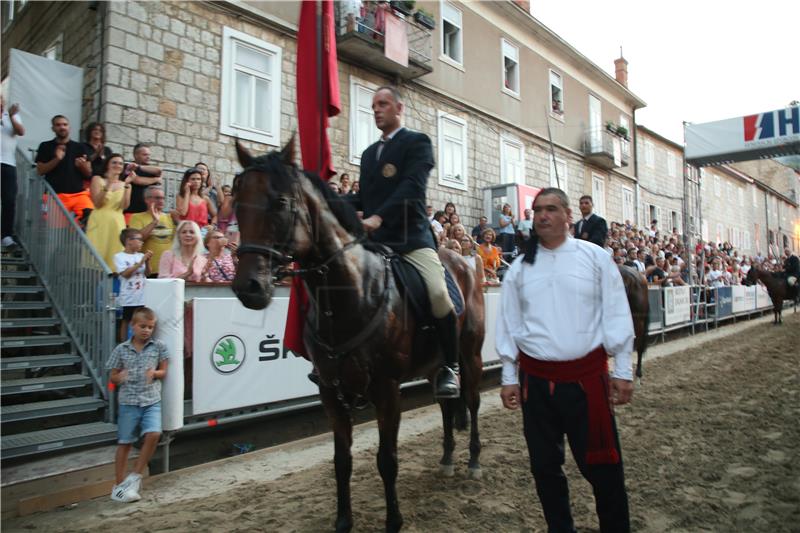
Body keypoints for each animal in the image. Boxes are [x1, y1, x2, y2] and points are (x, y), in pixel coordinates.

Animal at [228, 139, 484, 528]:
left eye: (281, 203)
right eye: (237, 204)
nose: (249, 287)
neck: (348, 292)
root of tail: (464, 262)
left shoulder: (387, 390)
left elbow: (387, 460)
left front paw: (393, 521)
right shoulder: (331, 392)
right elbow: (341, 462)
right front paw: (343, 522)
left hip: (470, 355)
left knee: (471, 400)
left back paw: (473, 461)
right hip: (435, 366)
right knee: (445, 402)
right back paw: (447, 459)